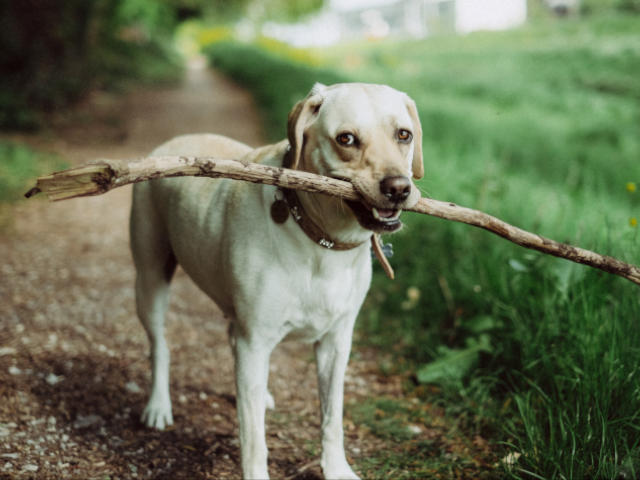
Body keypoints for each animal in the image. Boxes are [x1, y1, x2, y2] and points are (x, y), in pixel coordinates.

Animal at [128, 83, 422, 480]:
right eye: (346, 139)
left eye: (403, 135)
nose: (398, 188)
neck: (321, 241)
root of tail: (170, 143)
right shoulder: (255, 340)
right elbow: (254, 440)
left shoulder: (336, 342)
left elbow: (332, 417)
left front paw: (336, 468)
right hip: (151, 278)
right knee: (160, 345)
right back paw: (158, 406)